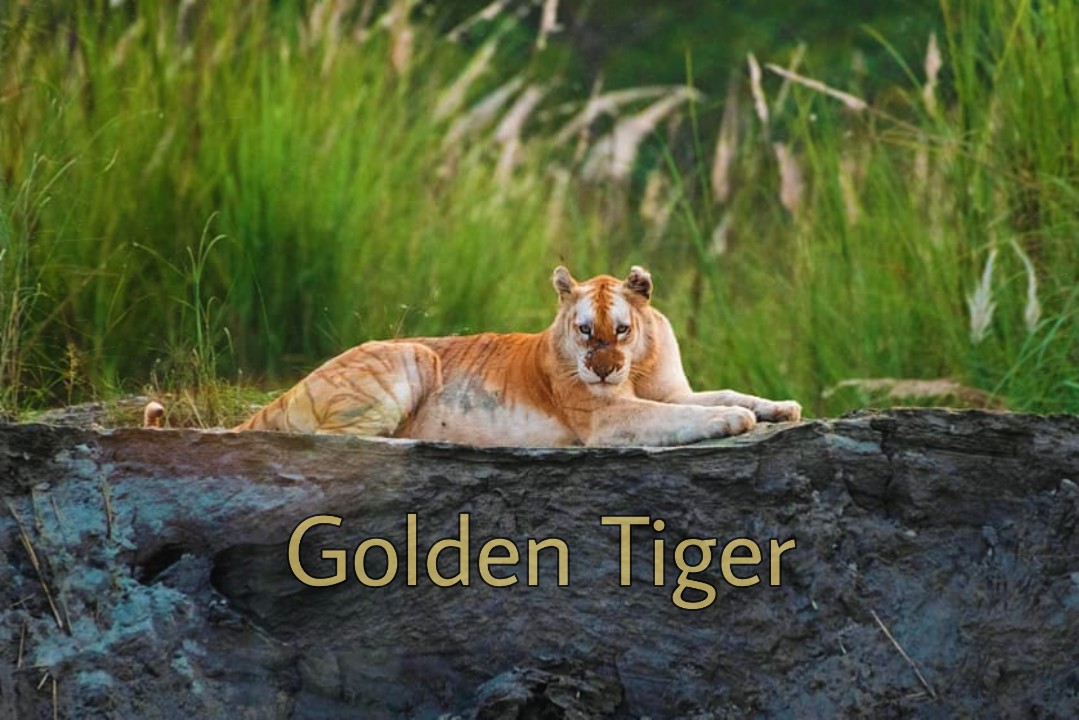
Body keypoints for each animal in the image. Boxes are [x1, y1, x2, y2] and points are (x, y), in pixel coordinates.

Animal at [229, 266, 802, 446]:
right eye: (585, 331)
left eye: (621, 329)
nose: (604, 369)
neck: (637, 366)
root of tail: (282, 395)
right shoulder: (605, 417)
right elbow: (682, 416)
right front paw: (735, 418)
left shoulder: (672, 389)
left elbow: (718, 392)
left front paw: (781, 407)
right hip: (410, 356)